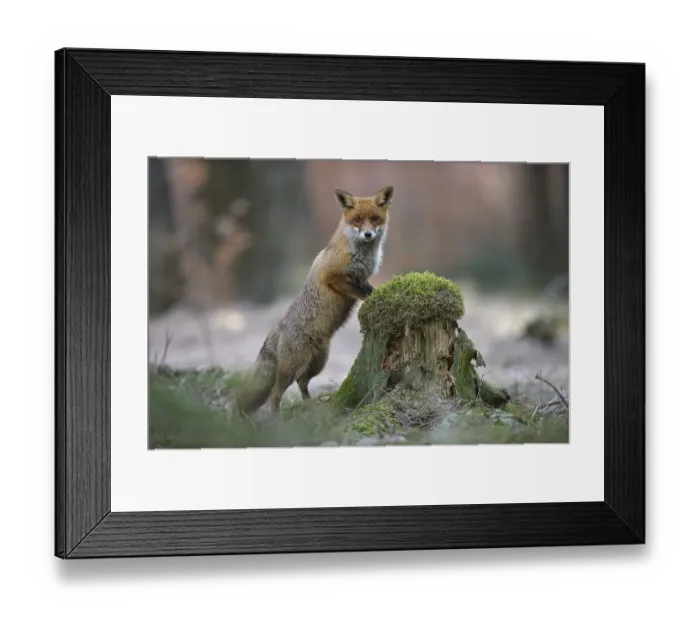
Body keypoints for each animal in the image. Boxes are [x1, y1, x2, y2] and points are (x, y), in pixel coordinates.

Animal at [232, 185, 395, 415]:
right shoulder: (333, 277)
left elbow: (369, 289)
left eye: (374, 218)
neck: (360, 254)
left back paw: (311, 405)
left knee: (302, 383)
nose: (368, 234)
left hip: (318, 362)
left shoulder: (362, 279)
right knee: (275, 393)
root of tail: (278, 326)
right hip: (292, 367)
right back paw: (275, 418)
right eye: (357, 220)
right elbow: (363, 293)